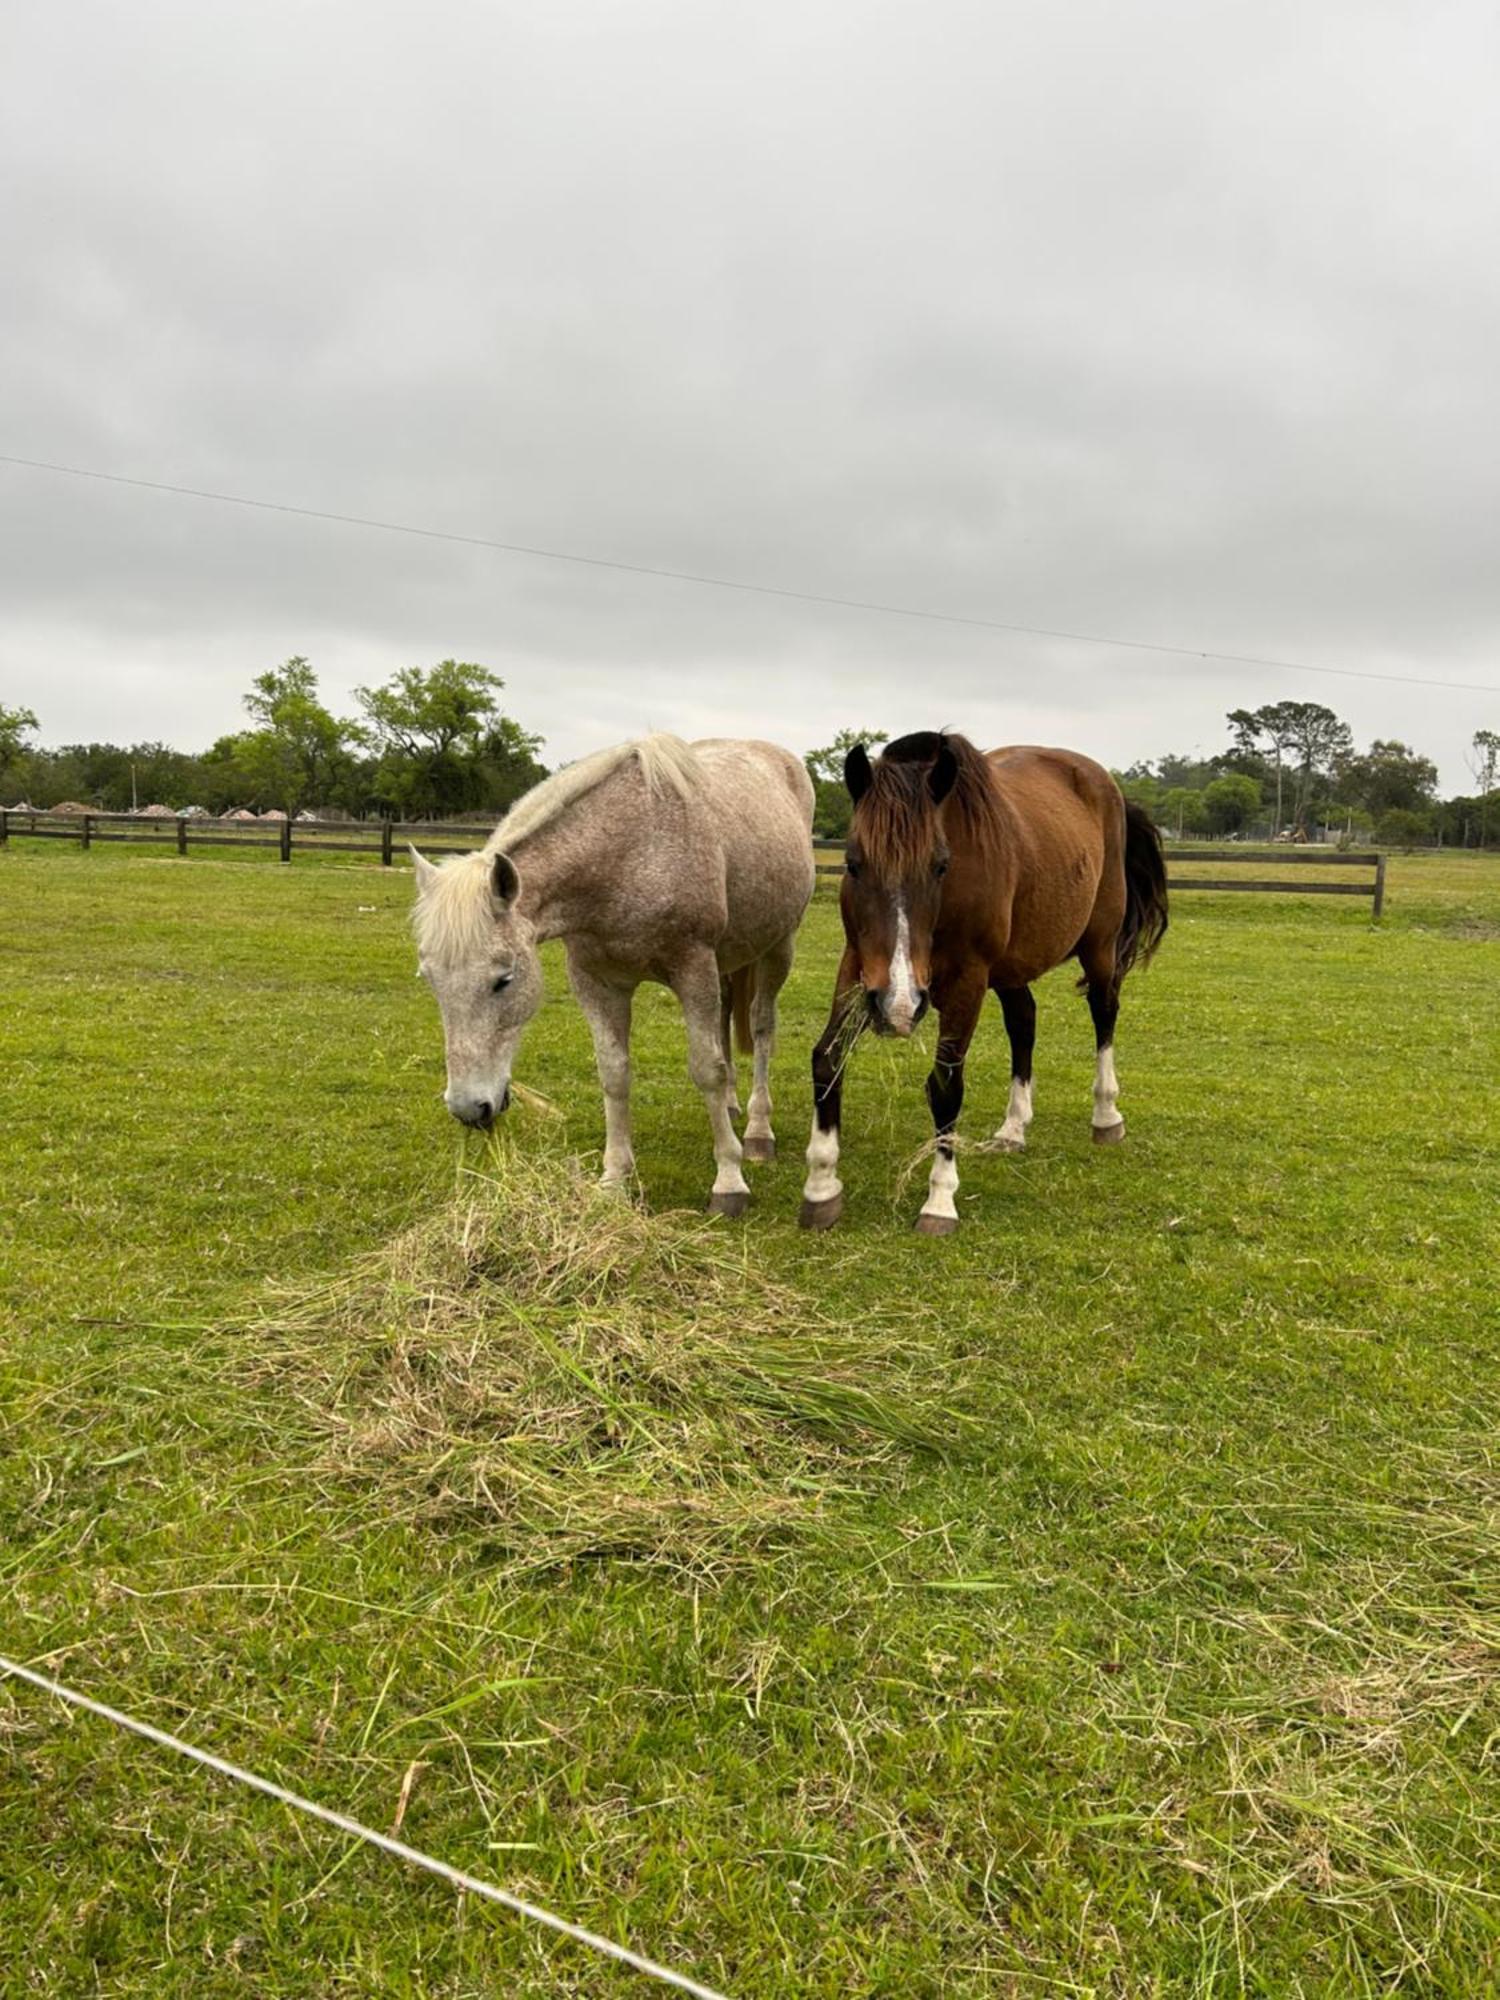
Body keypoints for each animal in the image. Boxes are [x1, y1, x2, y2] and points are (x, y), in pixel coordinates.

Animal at [412, 732, 816, 1208]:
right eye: (431, 980)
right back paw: (733, 1107)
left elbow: (706, 1069)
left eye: (503, 980)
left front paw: (729, 1180)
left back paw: (757, 1131)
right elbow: (615, 1074)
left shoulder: (693, 968)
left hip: (778, 948)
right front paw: (614, 1179)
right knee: (724, 1022)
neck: (628, 853)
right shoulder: (597, 982)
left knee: (761, 1026)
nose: (469, 1109)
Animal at [800, 736, 1176, 1232]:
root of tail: (1107, 787)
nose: (898, 1007)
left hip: (1099, 947)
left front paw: (940, 1199)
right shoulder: (860, 967)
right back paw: (1014, 1128)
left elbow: (945, 1086)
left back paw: (1106, 1114)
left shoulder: (967, 979)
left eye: (941, 866)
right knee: (1024, 1021)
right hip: (1011, 969)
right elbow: (827, 1060)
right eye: (853, 864)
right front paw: (821, 1185)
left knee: (1105, 1013)